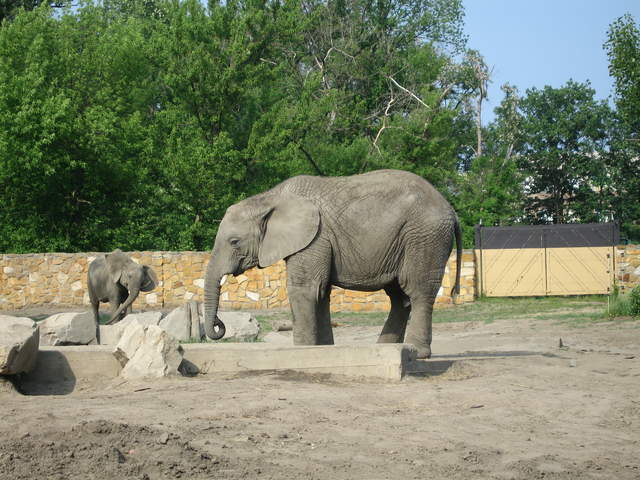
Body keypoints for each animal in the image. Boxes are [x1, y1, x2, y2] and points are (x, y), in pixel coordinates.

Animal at [203, 169, 461, 358]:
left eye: (234, 242)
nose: (219, 326)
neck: (270, 197)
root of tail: (450, 209)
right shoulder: (317, 242)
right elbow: (322, 292)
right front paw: (323, 349)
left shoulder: (314, 239)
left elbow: (303, 289)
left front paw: (302, 352)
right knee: (399, 297)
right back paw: (387, 349)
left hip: (425, 237)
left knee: (418, 290)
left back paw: (417, 353)